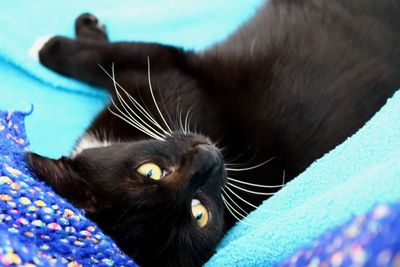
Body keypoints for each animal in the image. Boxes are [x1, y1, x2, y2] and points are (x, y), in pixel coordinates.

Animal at [26, 1, 400, 266]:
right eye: (199, 213)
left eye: (150, 171)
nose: (209, 157)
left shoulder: (172, 72)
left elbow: (108, 59)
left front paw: (53, 44)